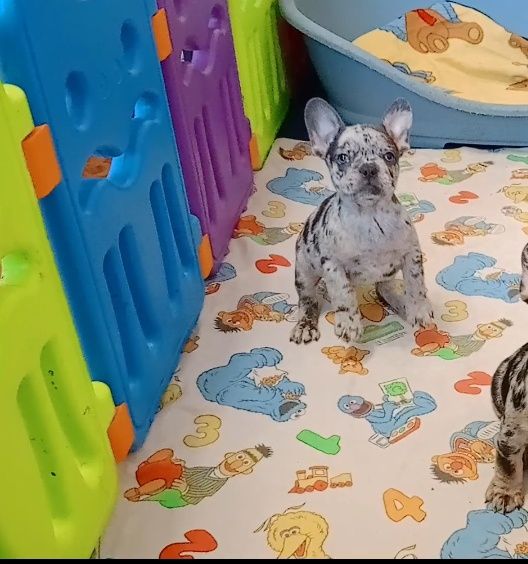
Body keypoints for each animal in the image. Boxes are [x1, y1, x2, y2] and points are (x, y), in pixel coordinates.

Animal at [290, 97, 433, 345]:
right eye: (342, 158)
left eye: (389, 156)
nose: (368, 168)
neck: (370, 216)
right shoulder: (333, 265)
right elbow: (343, 294)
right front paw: (349, 323)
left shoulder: (411, 254)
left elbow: (415, 284)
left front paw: (418, 309)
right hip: (304, 270)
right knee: (308, 299)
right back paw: (305, 324)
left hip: (388, 273)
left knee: (384, 289)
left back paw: (401, 302)